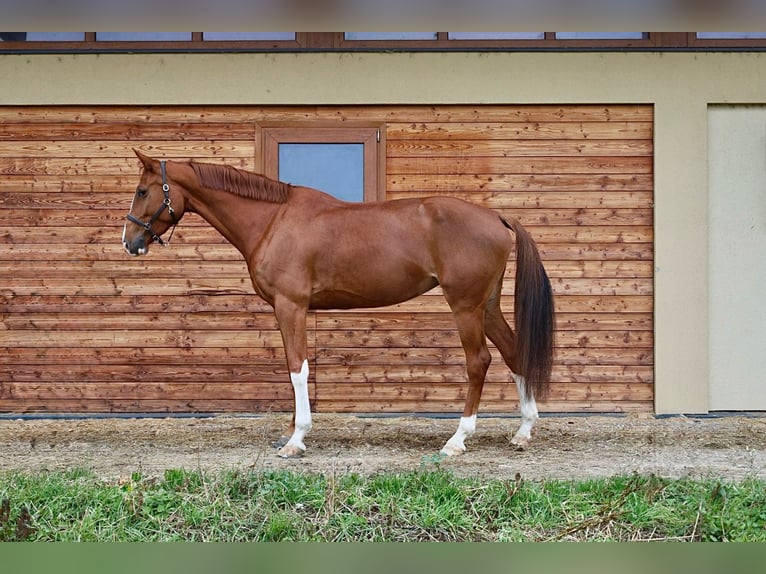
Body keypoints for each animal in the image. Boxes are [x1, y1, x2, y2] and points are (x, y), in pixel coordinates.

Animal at [122, 149, 555, 458]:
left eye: (143, 191)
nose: (130, 242)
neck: (273, 220)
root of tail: (495, 217)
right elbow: (295, 369)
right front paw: (291, 430)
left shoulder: (290, 306)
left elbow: (297, 369)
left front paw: (296, 440)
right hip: (487, 305)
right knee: (514, 351)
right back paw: (523, 432)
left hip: (465, 306)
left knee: (479, 361)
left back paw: (457, 439)